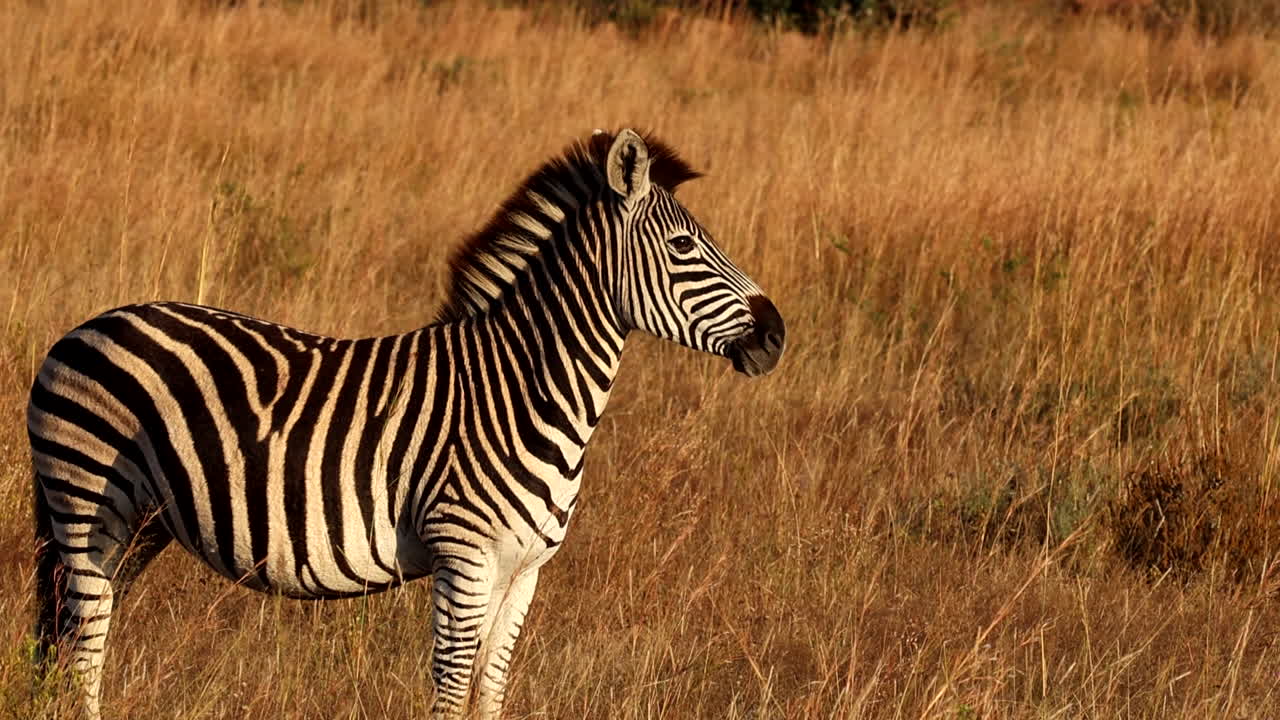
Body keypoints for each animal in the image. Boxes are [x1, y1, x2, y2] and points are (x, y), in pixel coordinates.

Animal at [28, 128, 785, 718]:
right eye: (685, 247)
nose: (776, 334)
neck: (521, 387)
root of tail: (81, 329)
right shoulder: (465, 559)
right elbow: (449, 694)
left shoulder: (523, 572)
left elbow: (490, 692)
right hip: (88, 505)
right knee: (83, 646)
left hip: (139, 524)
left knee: (77, 637)